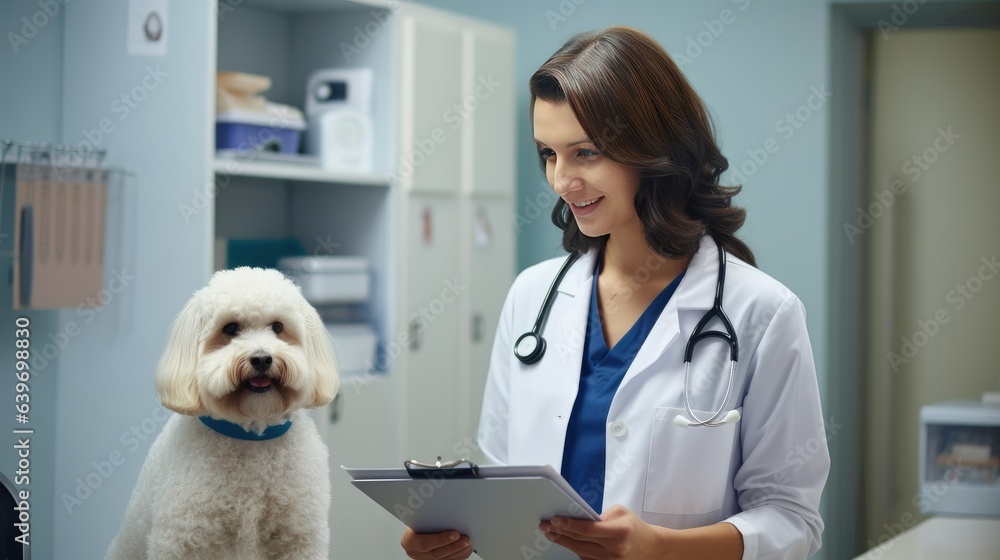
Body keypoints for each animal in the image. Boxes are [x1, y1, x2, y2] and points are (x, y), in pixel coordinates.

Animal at [106, 266, 340, 560]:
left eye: (278, 327)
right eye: (230, 328)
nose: (261, 358)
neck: (251, 436)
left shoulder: (300, 538)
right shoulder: (184, 540)